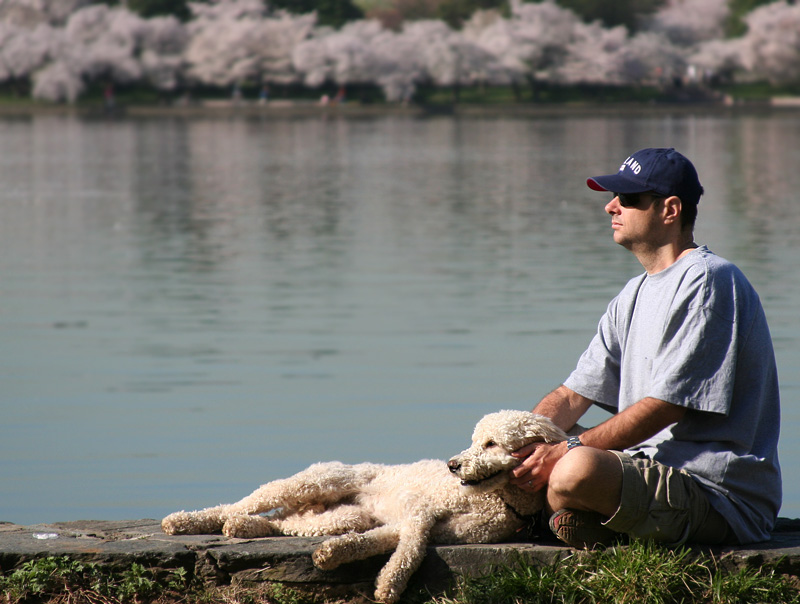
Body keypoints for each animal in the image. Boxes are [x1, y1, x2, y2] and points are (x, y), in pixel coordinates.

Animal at [161, 410, 564, 604]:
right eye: (474, 440)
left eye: (491, 444)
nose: (453, 465)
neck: (495, 498)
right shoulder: (420, 512)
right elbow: (412, 547)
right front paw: (390, 584)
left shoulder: (425, 526)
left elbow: (386, 543)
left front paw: (334, 556)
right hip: (312, 482)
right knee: (241, 503)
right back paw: (183, 521)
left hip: (342, 514)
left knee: (283, 521)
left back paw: (244, 528)